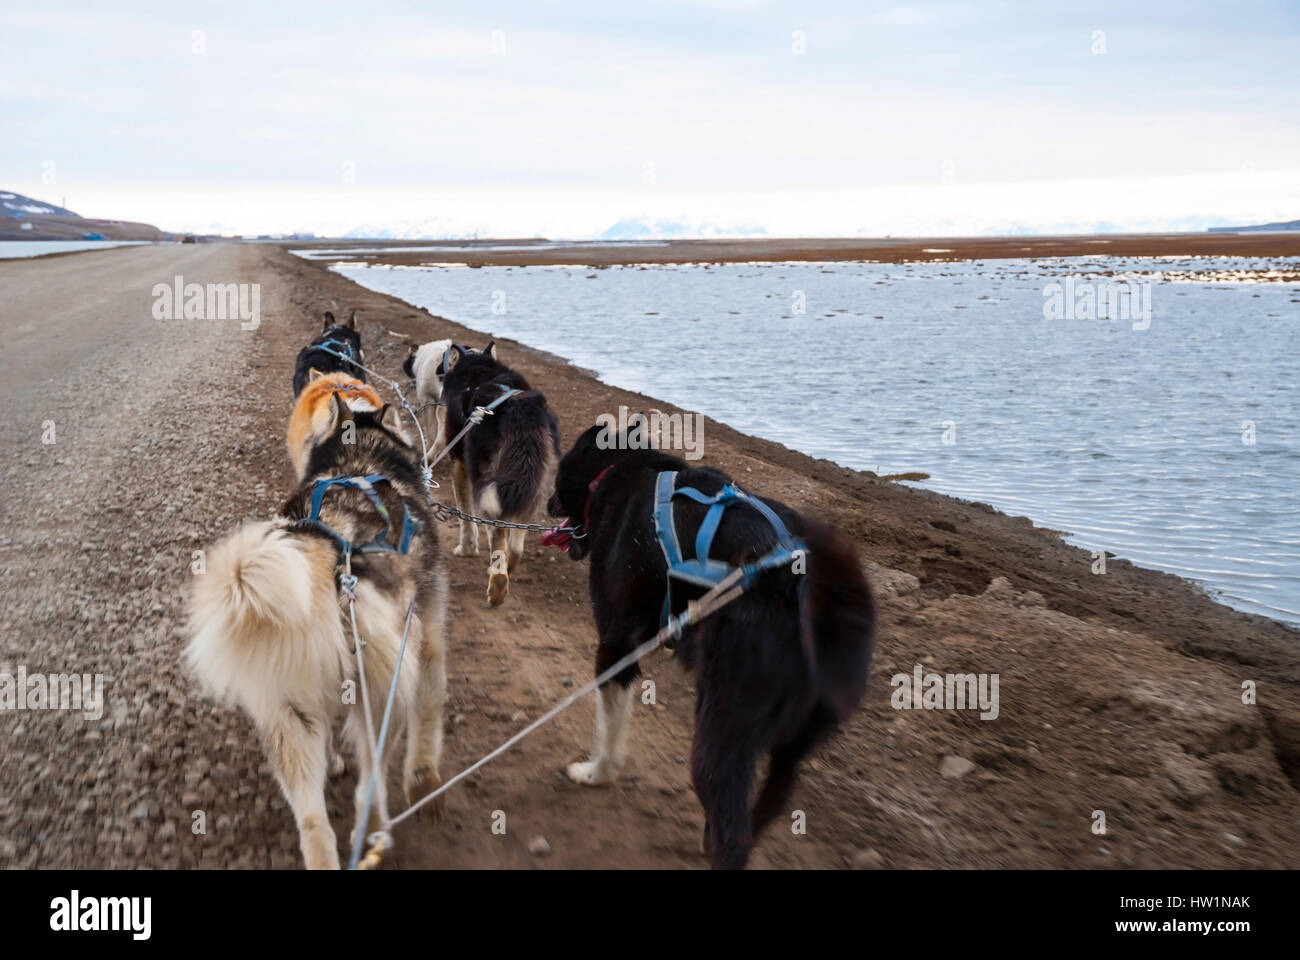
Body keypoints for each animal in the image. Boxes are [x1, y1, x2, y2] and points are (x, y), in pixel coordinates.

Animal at [441, 340, 559, 600]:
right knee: (515, 545)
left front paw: (466, 549)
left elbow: (466, 516)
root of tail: (520, 409)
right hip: (533, 485)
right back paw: (508, 567)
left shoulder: (460, 464)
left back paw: (497, 582)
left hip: (486, 480)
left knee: (498, 533)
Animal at [546, 421, 873, 863]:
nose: (547, 502)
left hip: (721, 731)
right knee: (765, 809)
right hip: (789, 751)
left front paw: (597, 773)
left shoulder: (615, 645)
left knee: (733, 834)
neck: (623, 472)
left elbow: (609, 728)